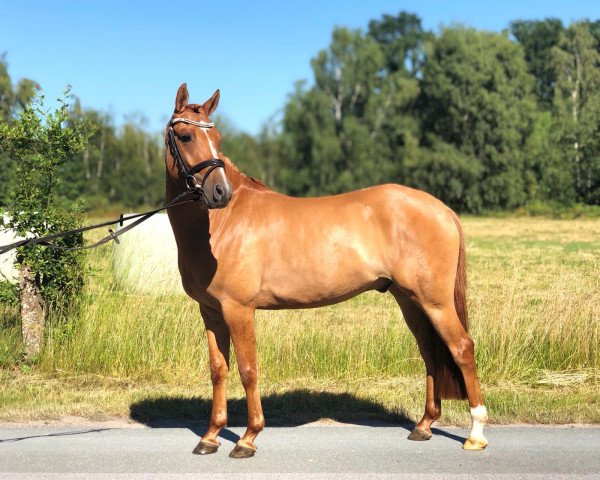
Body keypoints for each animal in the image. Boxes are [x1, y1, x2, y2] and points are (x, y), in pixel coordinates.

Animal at [164, 84, 488, 460]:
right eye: (185, 135)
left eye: (216, 136)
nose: (220, 192)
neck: (222, 224)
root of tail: (441, 209)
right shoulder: (212, 311)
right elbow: (219, 370)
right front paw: (211, 436)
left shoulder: (239, 310)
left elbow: (248, 370)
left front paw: (247, 438)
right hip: (410, 301)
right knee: (430, 352)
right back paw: (423, 426)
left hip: (435, 301)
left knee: (462, 348)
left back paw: (476, 433)